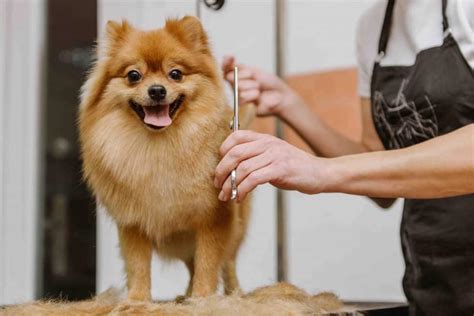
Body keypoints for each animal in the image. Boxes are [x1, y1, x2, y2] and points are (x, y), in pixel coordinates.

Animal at [78, 15, 256, 302]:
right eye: (134, 75)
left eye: (175, 74)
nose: (157, 90)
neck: (161, 147)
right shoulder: (133, 222)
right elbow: (138, 265)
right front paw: (137, 300)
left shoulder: (213, 217)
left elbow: (208, 263)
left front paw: (203, 299)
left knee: (226, 262)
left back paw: (231, 293)